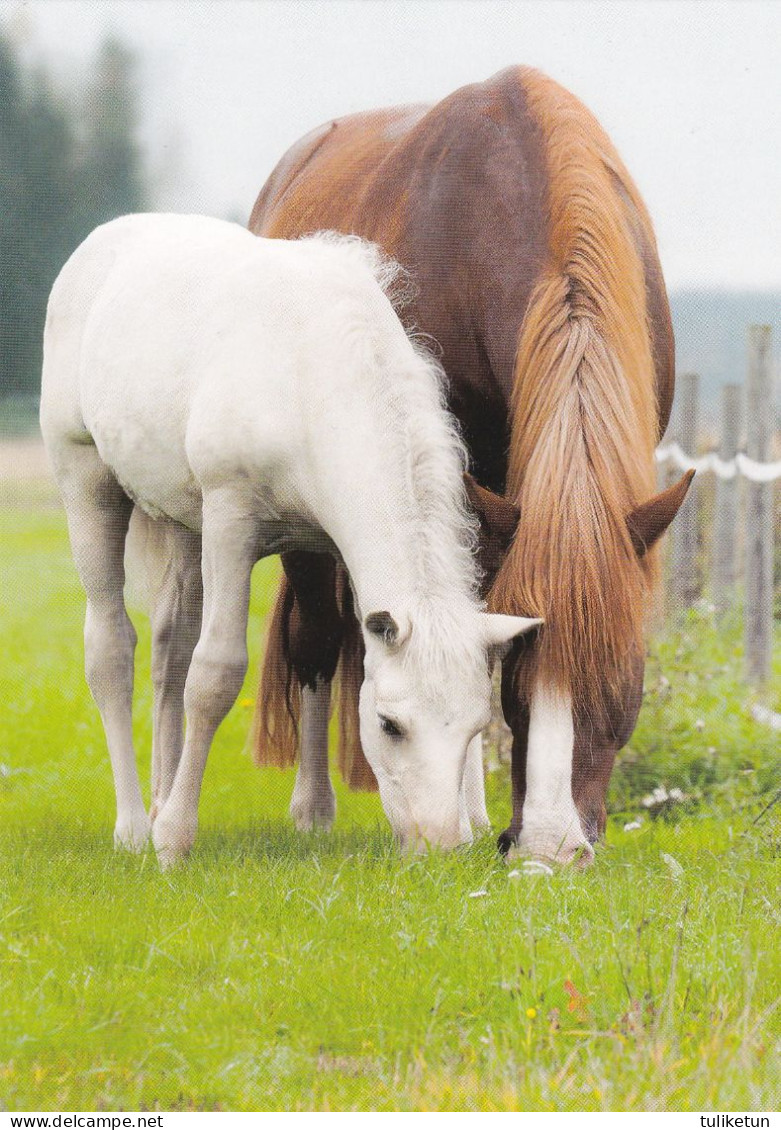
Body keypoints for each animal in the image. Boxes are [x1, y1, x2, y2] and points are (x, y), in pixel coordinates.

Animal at [39, 213, 540, 863]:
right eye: (389, 725)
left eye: (476, 725)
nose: (438, 846)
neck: (310, 376)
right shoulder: (229, 521)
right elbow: (216, 672)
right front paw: (175, 841)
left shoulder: (314, 544)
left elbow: (310, 641)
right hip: (88, 482)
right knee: (111, 648)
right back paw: (134, 828)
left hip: (183, 524)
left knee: (169, 652)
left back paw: (158, 802)